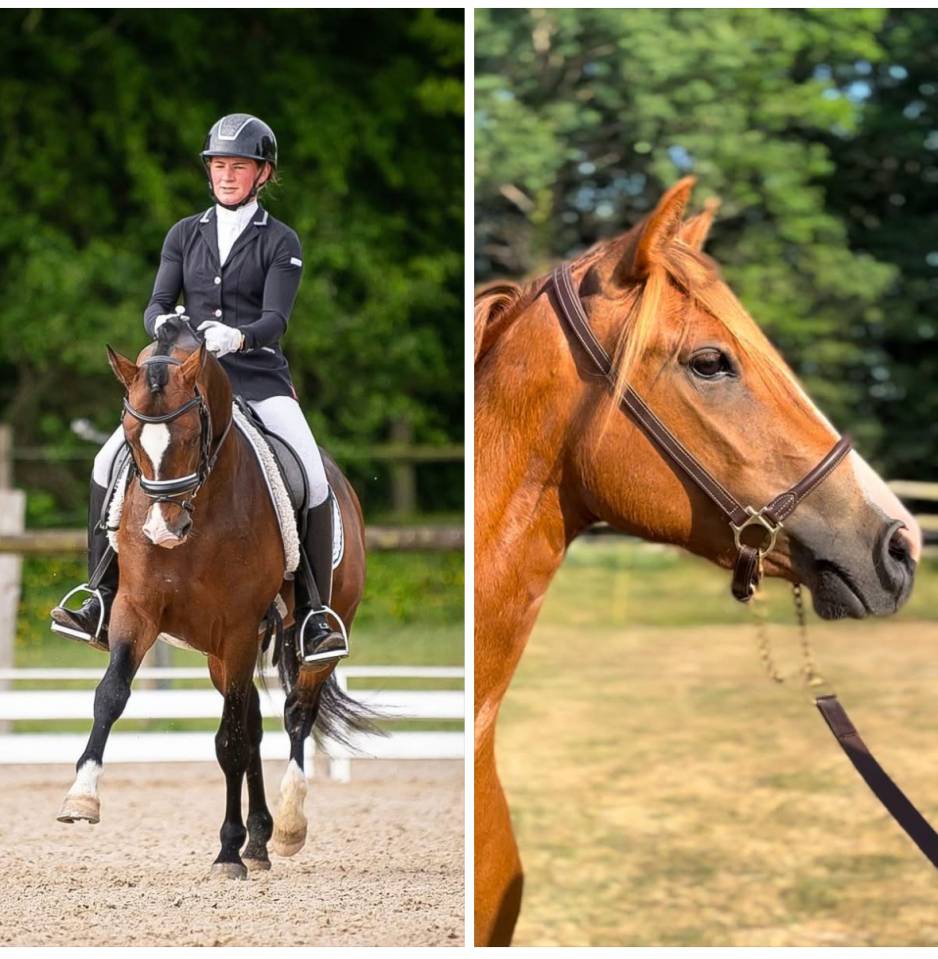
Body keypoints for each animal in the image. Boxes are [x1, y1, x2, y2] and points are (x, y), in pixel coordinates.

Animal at [56, 319, 370, 878]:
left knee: (297, 711)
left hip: (311, 635)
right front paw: (82, 796)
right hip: (218, 654)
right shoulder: (137, 611)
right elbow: (110, 696)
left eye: (189, 434)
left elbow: (230, 741)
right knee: (254, 724)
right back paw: (260, 840)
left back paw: (287, 826)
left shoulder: (239, 625)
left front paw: (227, 851)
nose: (163, 529)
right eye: (131, 437)